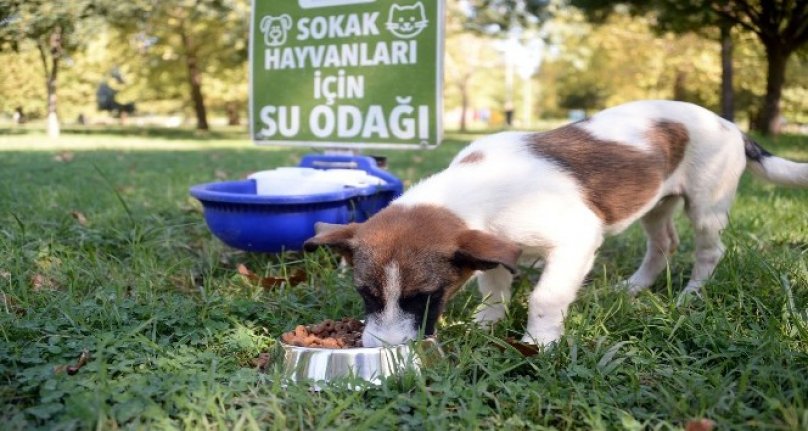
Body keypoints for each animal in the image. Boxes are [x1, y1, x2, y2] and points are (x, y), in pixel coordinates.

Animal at [304, 100, 808, 348]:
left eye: (424, 297)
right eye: (366, 295)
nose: (382, 349)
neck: (479, 184)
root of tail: (730, 124)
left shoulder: (576, 239)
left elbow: (545, 297)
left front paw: (539, 341)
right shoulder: (492, 245)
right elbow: (493, 285)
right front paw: (489, 323)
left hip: (707, 203)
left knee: (708, 249)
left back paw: (692, 294)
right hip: (656, 202)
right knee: (663, 243)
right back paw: (634, 288)